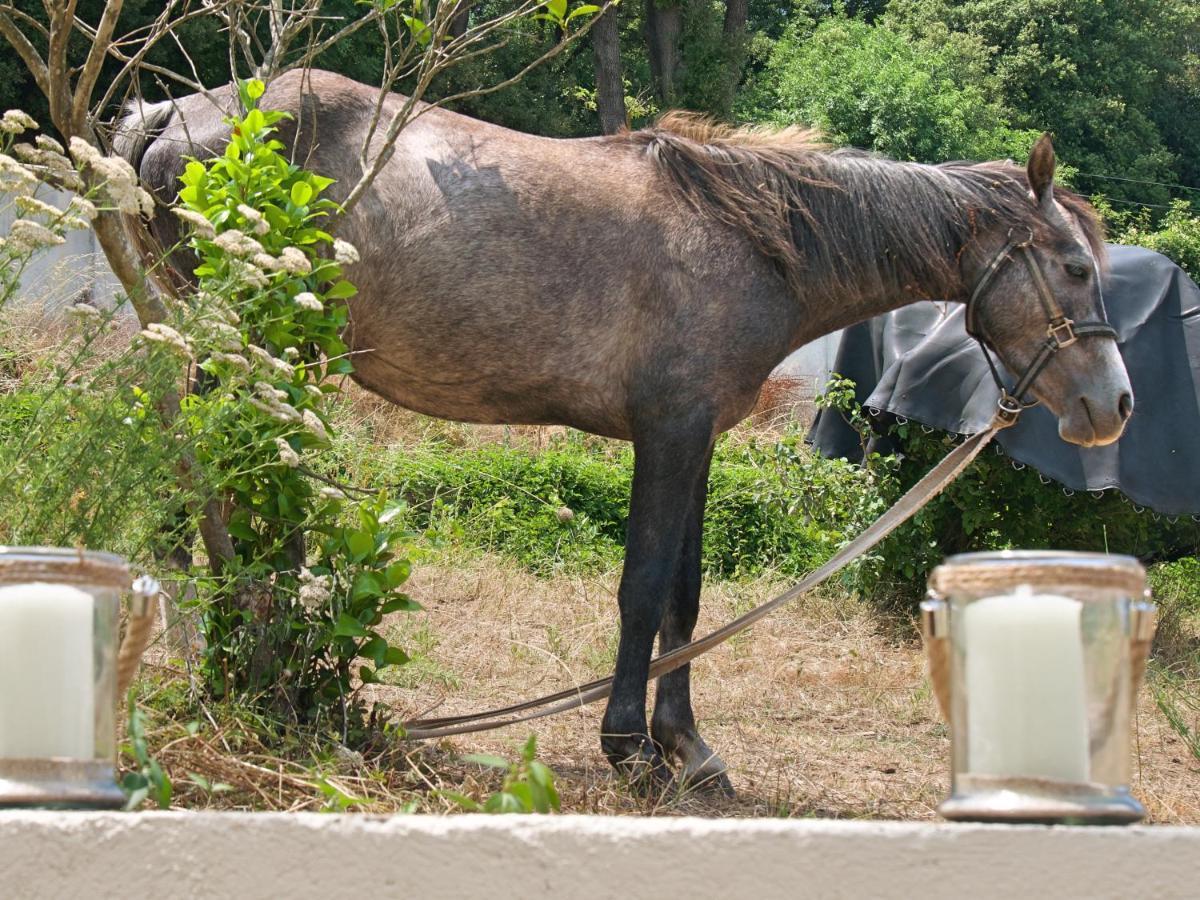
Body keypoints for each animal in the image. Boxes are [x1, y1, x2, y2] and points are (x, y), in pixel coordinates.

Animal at [117, 66, 1128, 792]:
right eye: (1075, 268)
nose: (1114, 406)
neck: (753, 239)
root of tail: (172, 114)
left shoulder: (699, 438)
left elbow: (685, 595)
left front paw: (689, 748)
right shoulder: (668, 435)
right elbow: (642, 590)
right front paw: (630, 749)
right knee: (203, 490)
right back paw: (229, 662)